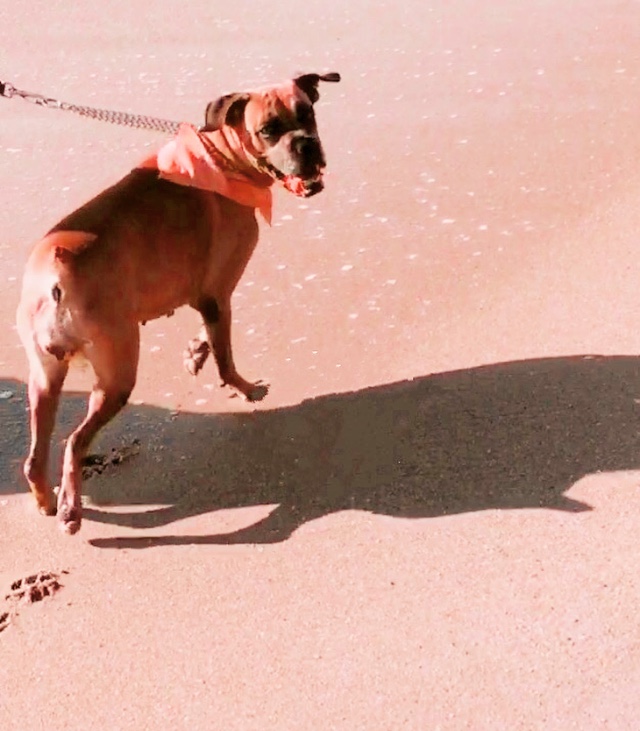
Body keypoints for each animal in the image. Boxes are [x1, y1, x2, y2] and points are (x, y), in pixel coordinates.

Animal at [16, 72, 340, 535]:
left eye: (307, 113)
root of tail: (54, 273)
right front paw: (243, 388)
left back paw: (47, 501)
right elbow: (225, 354)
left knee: (35, 455)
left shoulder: (206, 295)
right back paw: (71, 510)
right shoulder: (218, 291)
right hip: (115, 376)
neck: (225, 157)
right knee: (74, 442)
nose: (306, 145)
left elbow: (209, 334)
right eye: (268, 130)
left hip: (45, 377)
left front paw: (194, 352)